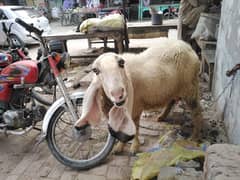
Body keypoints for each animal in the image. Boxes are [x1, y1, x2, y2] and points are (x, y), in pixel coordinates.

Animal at [74, 38, 202, 153]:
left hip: (190, 87)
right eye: (95, 70)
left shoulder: (135, 108)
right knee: (171, 100)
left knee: (197, 112)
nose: (118, 94)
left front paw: (134, 147)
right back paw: (162, 116)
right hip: (173, 88)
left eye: (121, 63)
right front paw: (119, 147)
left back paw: (195, 136)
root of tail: (186, 46)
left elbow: (134, 127)